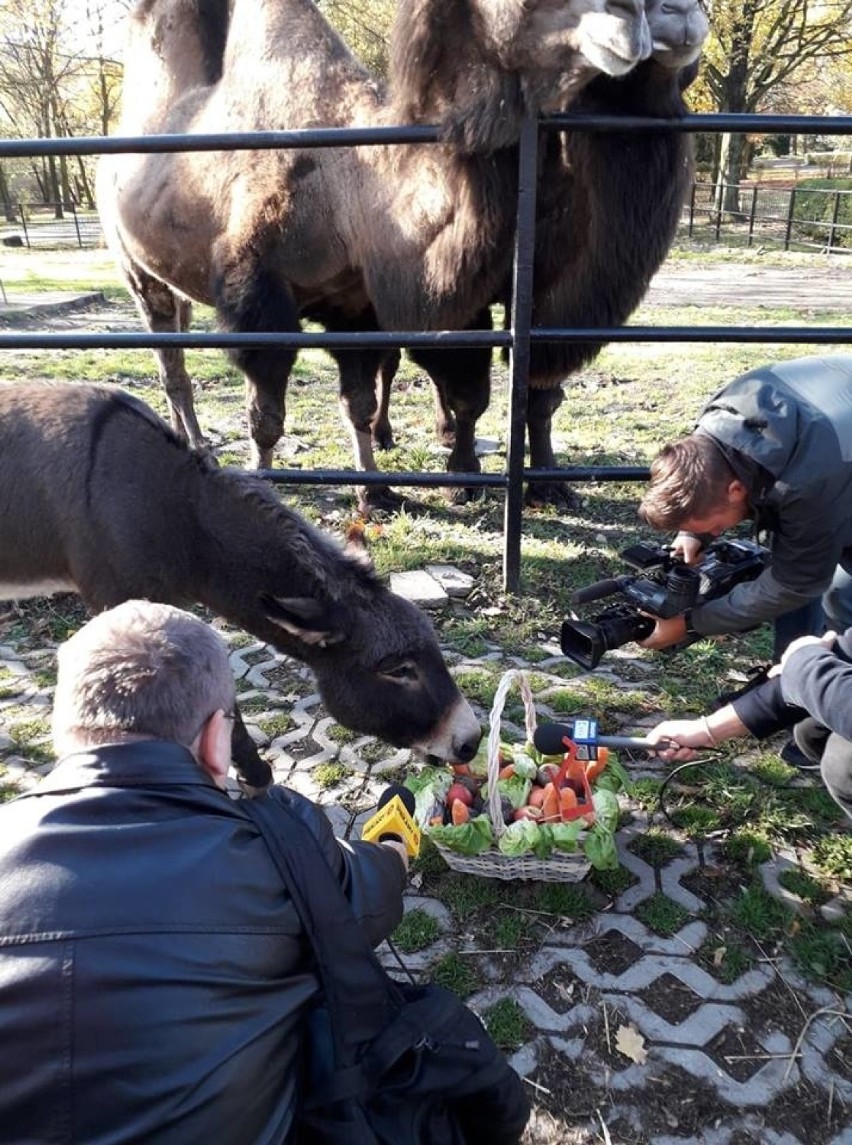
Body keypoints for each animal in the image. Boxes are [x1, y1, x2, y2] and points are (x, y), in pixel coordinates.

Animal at [95, 0, 650, 506]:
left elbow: (358, 401)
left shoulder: (355, 307)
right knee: (172, 368)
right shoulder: (258, 297)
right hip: (135, 271)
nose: (633, 24)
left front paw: (376, 489)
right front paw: (267, 479)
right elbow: (265, 415)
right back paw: (196, 444)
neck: (353, 185)